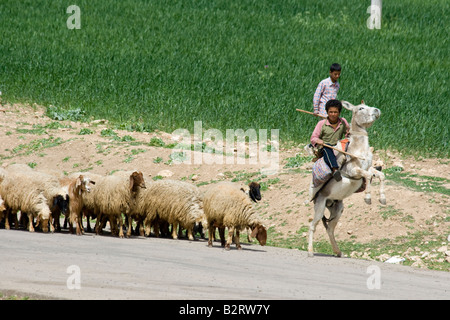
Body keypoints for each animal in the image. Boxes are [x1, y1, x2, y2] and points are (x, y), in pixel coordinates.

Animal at [308, 100, 384, 258]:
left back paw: (338, 252)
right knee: (312, 225)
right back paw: (310, 251)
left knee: (330, 229)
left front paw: (382, 199)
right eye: (361, 108)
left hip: (337, 209)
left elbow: (380, 175)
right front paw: (368, 198)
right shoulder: (353, 171)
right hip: (319, 205)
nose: (377, 110)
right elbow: (368, 176)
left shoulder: (368, 167)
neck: (359, 147)